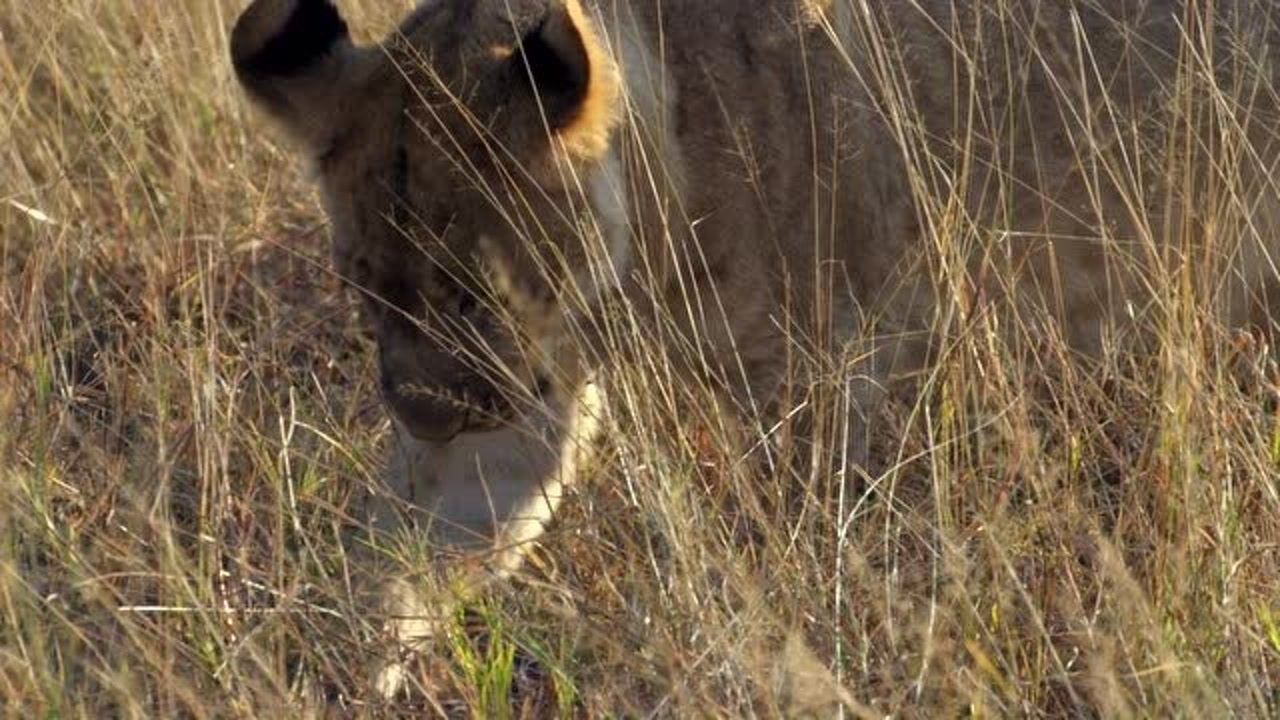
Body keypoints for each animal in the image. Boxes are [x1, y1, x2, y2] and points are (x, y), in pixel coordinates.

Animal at [232, 0, 1280, 696]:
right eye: (365, 284)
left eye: (476, 286)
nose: (422, 413)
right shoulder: (516, 404)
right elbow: (404, 552)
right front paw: (315, 680)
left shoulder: (835, 376)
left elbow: (812, 559)